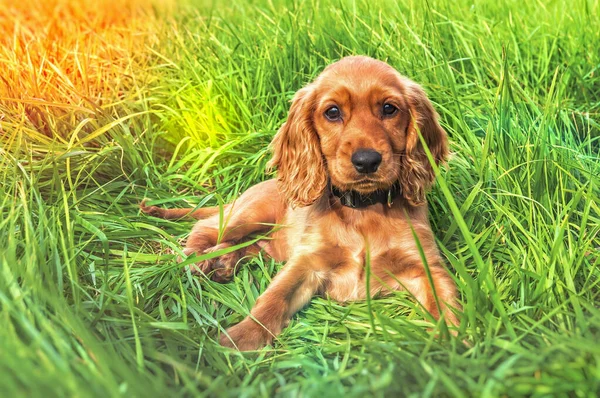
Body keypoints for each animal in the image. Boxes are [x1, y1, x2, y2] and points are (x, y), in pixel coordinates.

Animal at [141, 55, 460, 348]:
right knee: (206, 228)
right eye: (332, 112)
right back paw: (194, 259)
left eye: (389, 108)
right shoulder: (307, 261)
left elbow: (446, 305)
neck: (363, 208)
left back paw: (222, 262)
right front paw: (240, 340)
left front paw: (453, 348)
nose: (367, 161)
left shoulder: (425, 266)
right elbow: (274, 298)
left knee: (247, 246)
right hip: (249, 214)